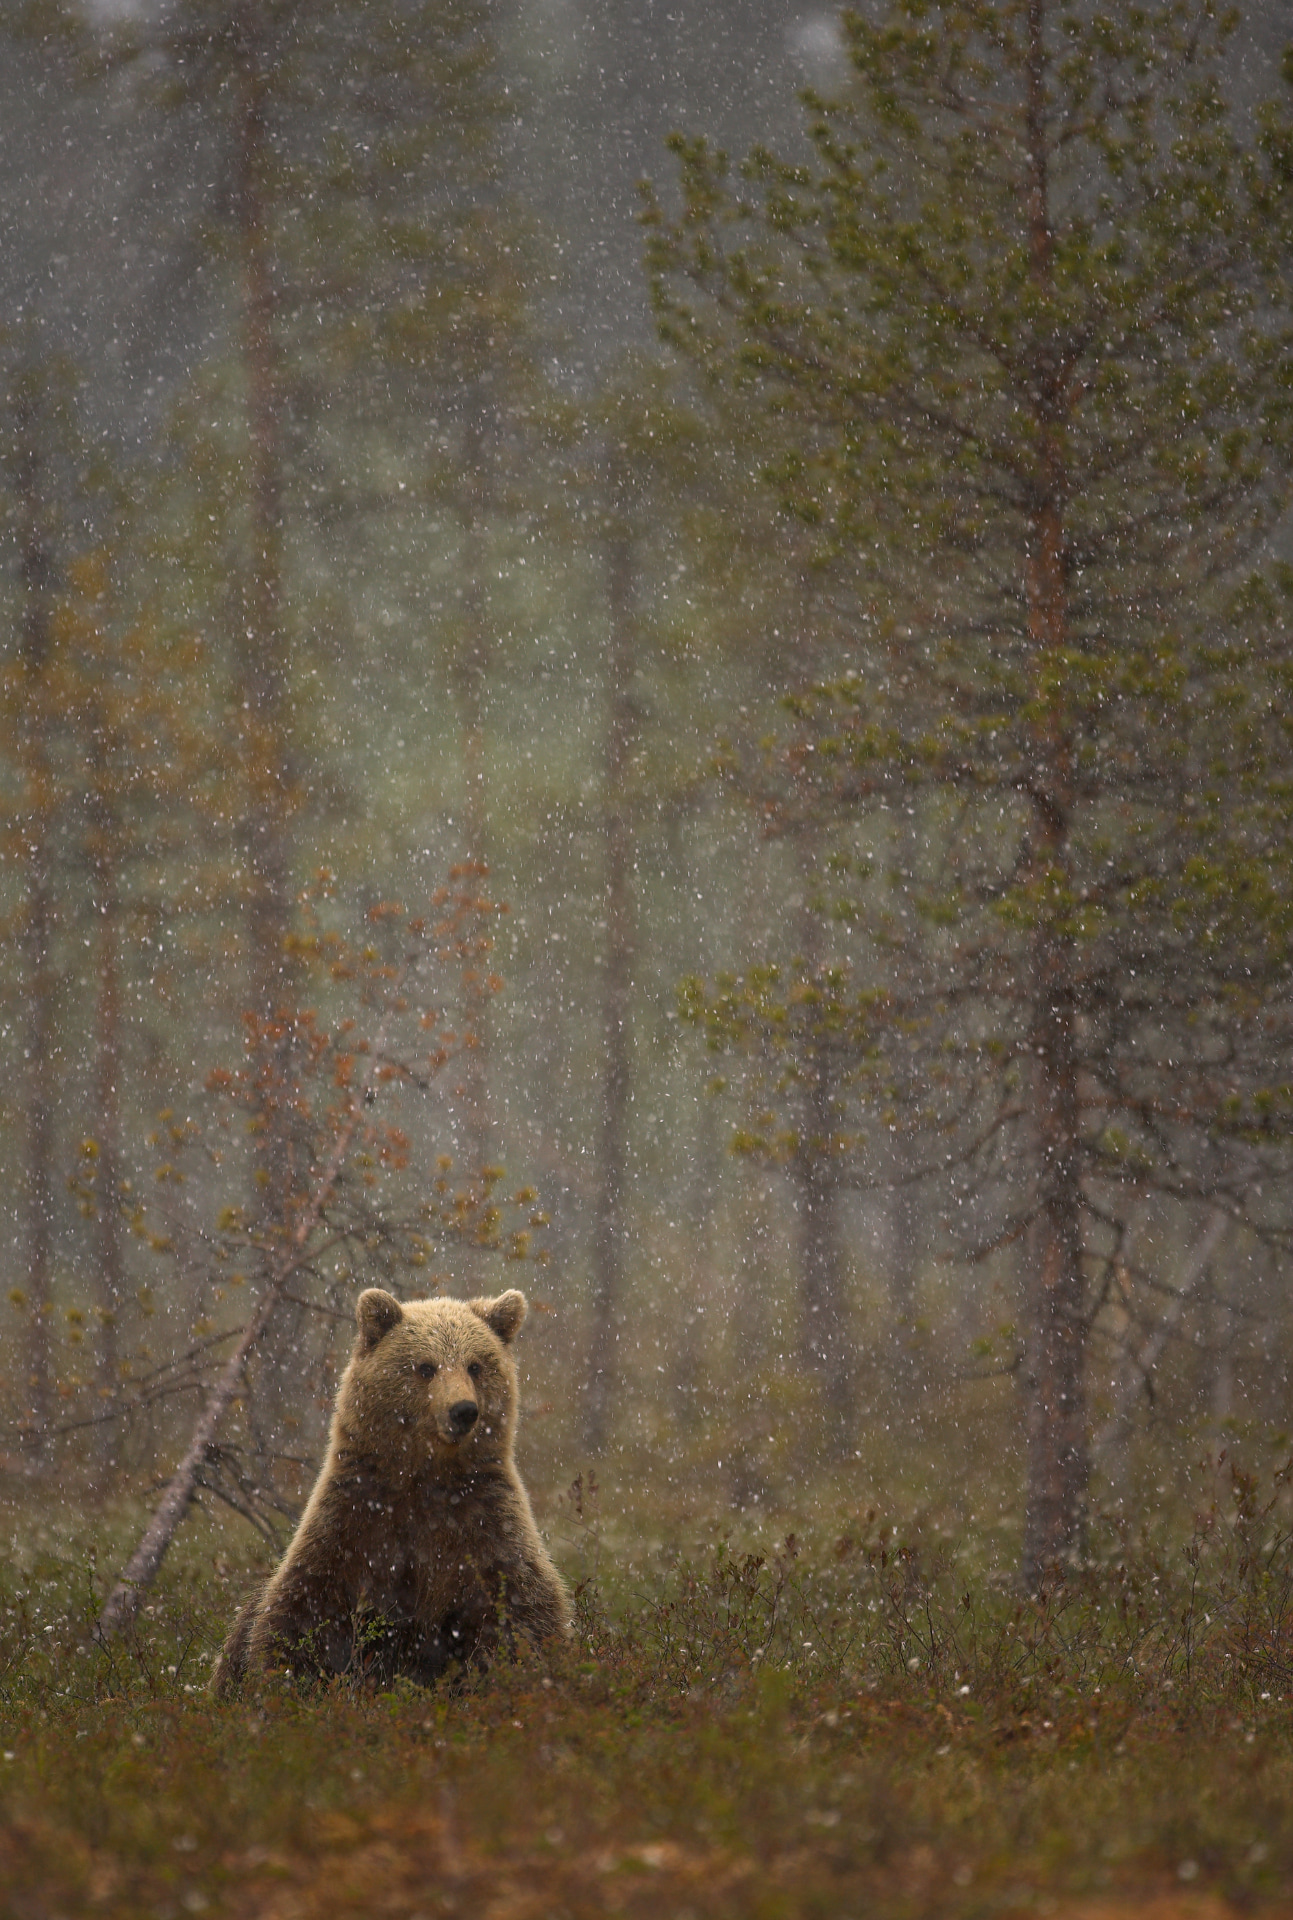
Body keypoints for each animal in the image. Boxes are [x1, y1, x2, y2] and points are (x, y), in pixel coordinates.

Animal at [210, 1286, 570, 1695]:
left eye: (475, 1365)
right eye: (425, 1366)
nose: (463, 1410)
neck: (425, 1479)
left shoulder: (485, 1525)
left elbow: (524, 1611)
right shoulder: (354, 1522)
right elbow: (301, 1614)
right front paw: (288, 1680)